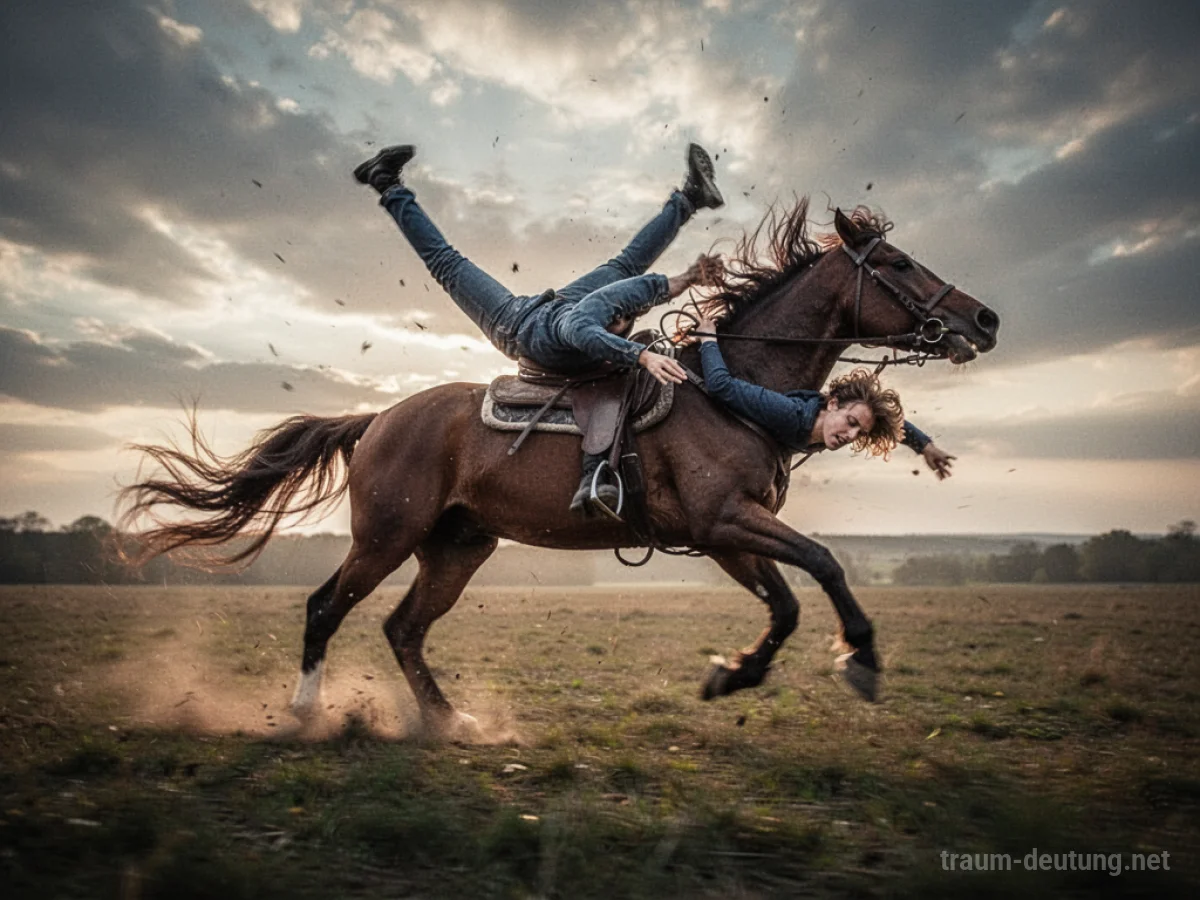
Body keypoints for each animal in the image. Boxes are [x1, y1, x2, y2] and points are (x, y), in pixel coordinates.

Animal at [119, 200, 1000, 739]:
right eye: (898, 262)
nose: (985, 318)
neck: (737, 388)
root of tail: (379, 420)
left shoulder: (724, 535)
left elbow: (783, 605)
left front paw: (730, 677)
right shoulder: (726, 521)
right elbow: (824, 564)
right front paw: (863, 661)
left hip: (458, 548)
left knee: (403, 630)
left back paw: (452, 722)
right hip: (386, 537)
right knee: (324, 607)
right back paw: (308, 711)